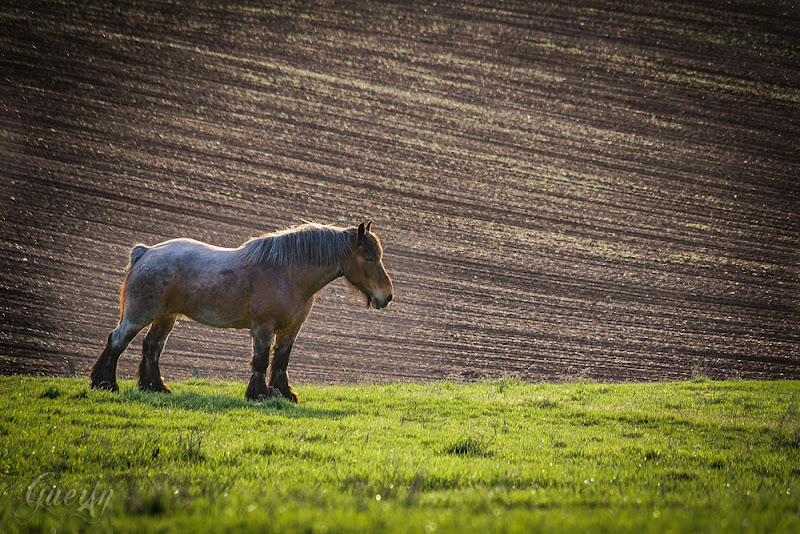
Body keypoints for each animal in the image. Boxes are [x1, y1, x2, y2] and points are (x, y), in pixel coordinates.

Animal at [89, 221, 396, 402]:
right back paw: (106, 384)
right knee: (117, 342)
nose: (387, 296)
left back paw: (155, 387)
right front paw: (259, 395)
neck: (287, 273)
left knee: (152, 347)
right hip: (138, 315)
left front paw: (284, 394)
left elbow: (281, 361)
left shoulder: (291, 330)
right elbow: (260, 360)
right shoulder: (263, 328)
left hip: (166, 317)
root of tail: (146, 252)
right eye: (369, 258)